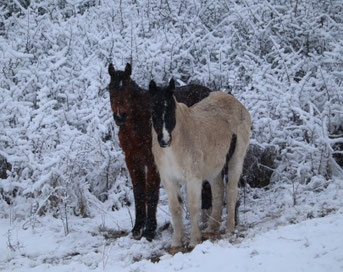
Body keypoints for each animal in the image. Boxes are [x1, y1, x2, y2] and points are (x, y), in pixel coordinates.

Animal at [109, 63, 214, 240]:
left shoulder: (153, 162)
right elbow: (139, 193)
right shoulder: (132, 161)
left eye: (128, 90)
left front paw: (150, 230)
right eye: (110, 89)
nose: (120, 116)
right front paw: (137, 228)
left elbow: (151, 193)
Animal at [149, 78, 251, 251]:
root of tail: (237, 103)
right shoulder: (169, 179)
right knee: (218, 192)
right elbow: (175, 208)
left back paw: (229, 228)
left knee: (231, 191)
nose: (164, 139)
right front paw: (176, 243)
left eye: (170, 109)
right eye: (153, 110)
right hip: (215, 168)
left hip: (235, 160)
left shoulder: (193, 178)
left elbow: (193, 206)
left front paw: (194, 241)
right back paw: (211, 228)